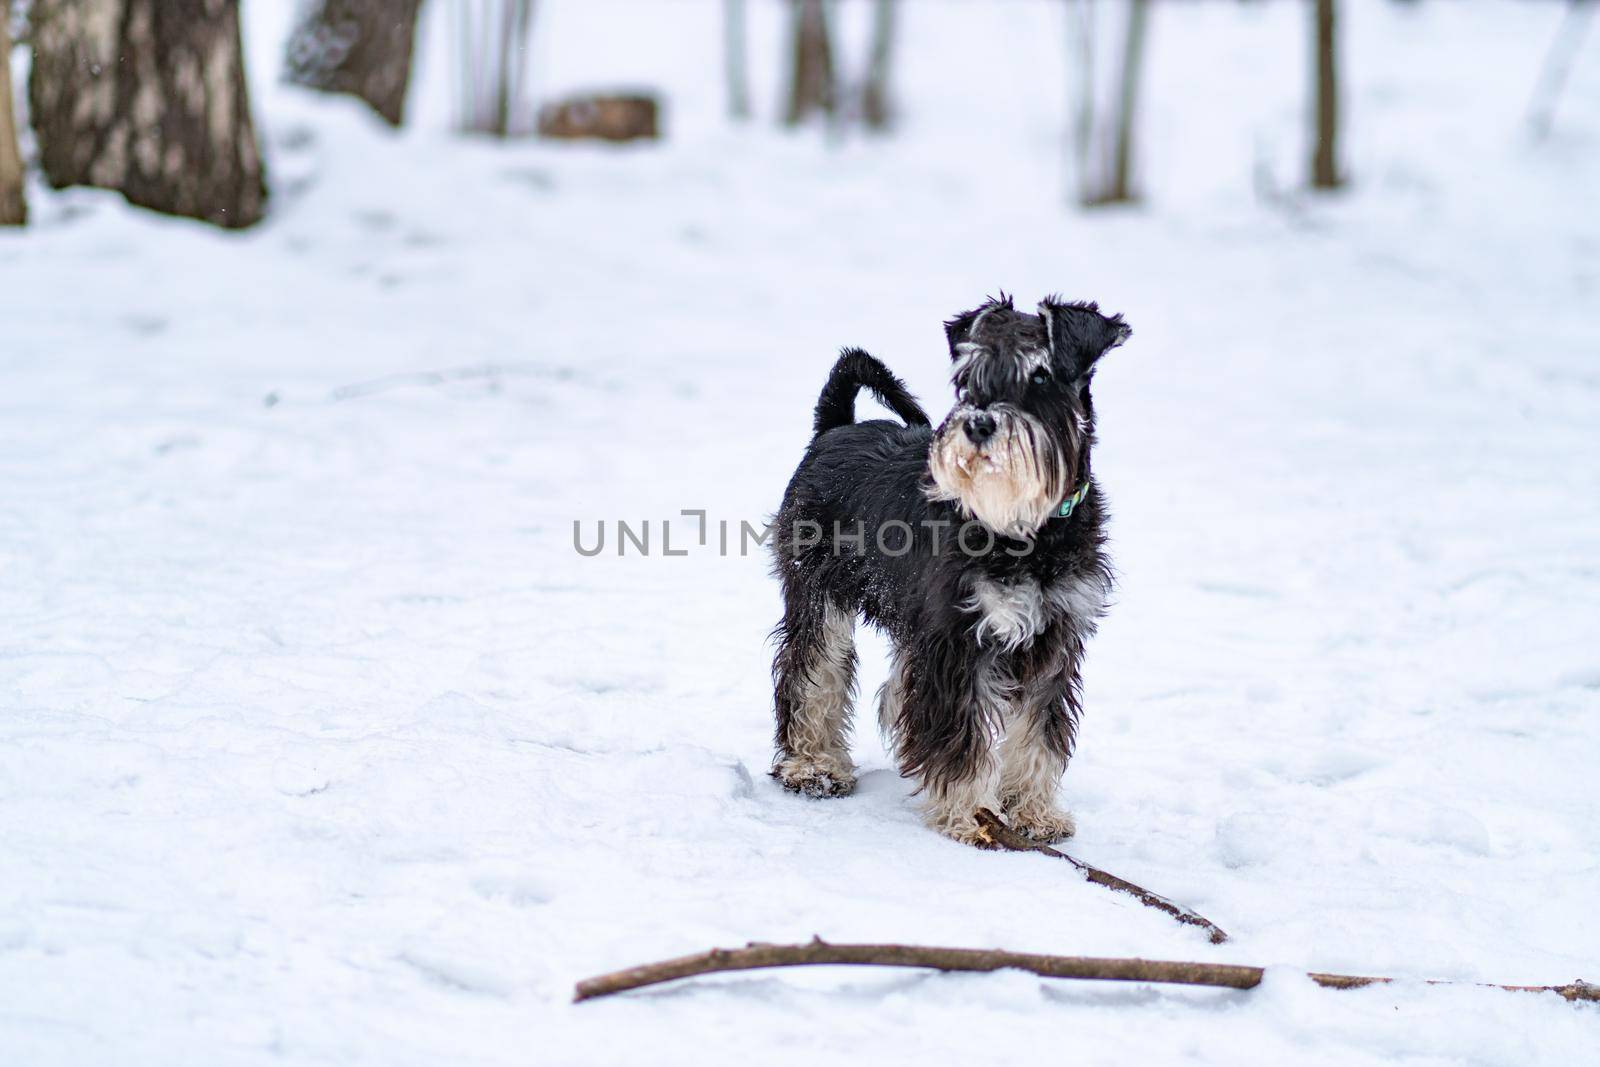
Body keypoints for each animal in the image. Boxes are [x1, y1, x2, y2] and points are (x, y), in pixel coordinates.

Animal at [764, 292, 1126, 844]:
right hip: (818, 598)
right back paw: (813, 767)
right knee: (811, 673)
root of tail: (835, 426)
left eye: (1041, 374)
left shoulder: (1054, 640)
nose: (978, 424)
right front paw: (971, 816)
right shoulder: (958, 640)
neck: (1029, 531)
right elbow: (963, 732)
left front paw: (1035, 813)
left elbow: (1039, 734)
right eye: (968, 377)